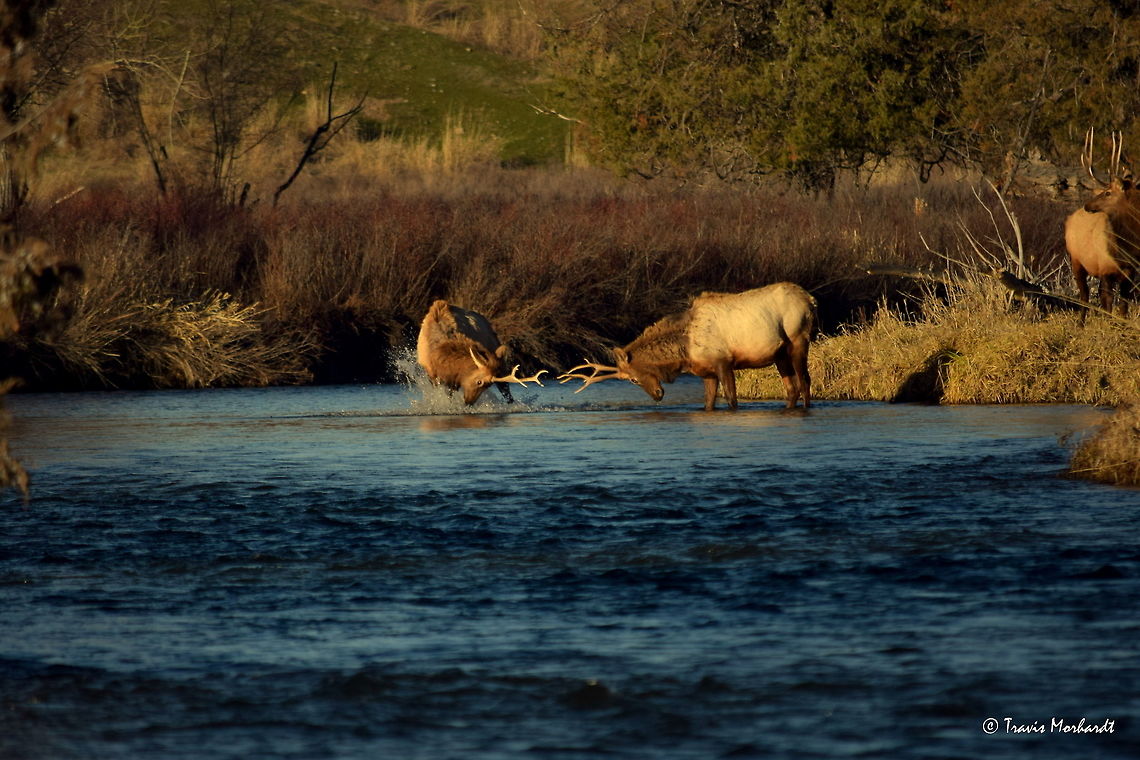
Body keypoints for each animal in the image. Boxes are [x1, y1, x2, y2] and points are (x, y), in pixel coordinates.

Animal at [558, 282, 815, 411]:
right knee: (792, 388)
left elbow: (731, 399)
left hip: (798, 339)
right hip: (779, 354)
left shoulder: (724, 362)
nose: (657, 395)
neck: (684, 351)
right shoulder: (706, 371)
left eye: (632, 379)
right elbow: (708, 402)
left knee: (805, 381)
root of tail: (810, 299)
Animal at [1065, 128, 1138, 318]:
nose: (1088, 205)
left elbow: (1124, 304)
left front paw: (1122, 323)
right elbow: (1108, 301)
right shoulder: (1104, 267)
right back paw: (1081, 323)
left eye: (1108, 193)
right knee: (1084, 295)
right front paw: (1109, 322)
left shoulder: (1131, 271)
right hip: (1076, 260)